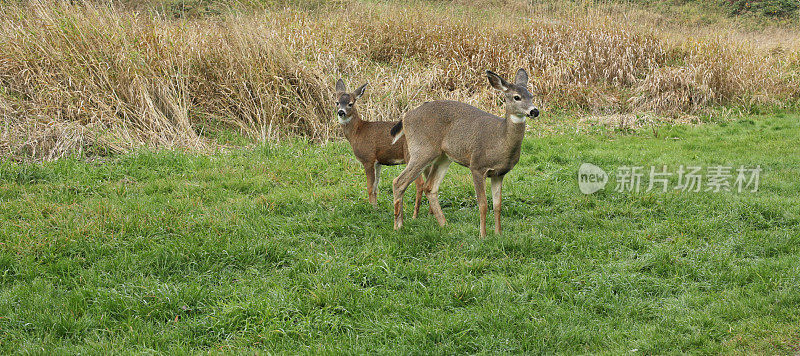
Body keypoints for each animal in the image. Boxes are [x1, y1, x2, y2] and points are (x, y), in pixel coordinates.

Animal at [336, 79, 428, 216]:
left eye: (350, 103)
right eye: (337, 102)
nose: (341, 112)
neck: (357, 132)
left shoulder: (368, 158)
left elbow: (369, 187)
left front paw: (372, 209)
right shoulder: (378, 162)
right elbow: (375, 187)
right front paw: (376, 208)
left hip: (411, 156)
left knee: (420, 183)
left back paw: (415, 214)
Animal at [392, 69, 540, 236]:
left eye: (531, 95)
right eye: (516, 97)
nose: (534, 111)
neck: (500, 140)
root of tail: (406, 116)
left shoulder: (499, 173)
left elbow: (497, 205)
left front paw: (498, 234)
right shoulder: (477, 166)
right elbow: (483, 204)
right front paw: (483, 235)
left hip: (443, 156)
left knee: (430, 187)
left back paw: (445, 225)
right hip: (422, 149)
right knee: (399, 182)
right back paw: (398, 226)